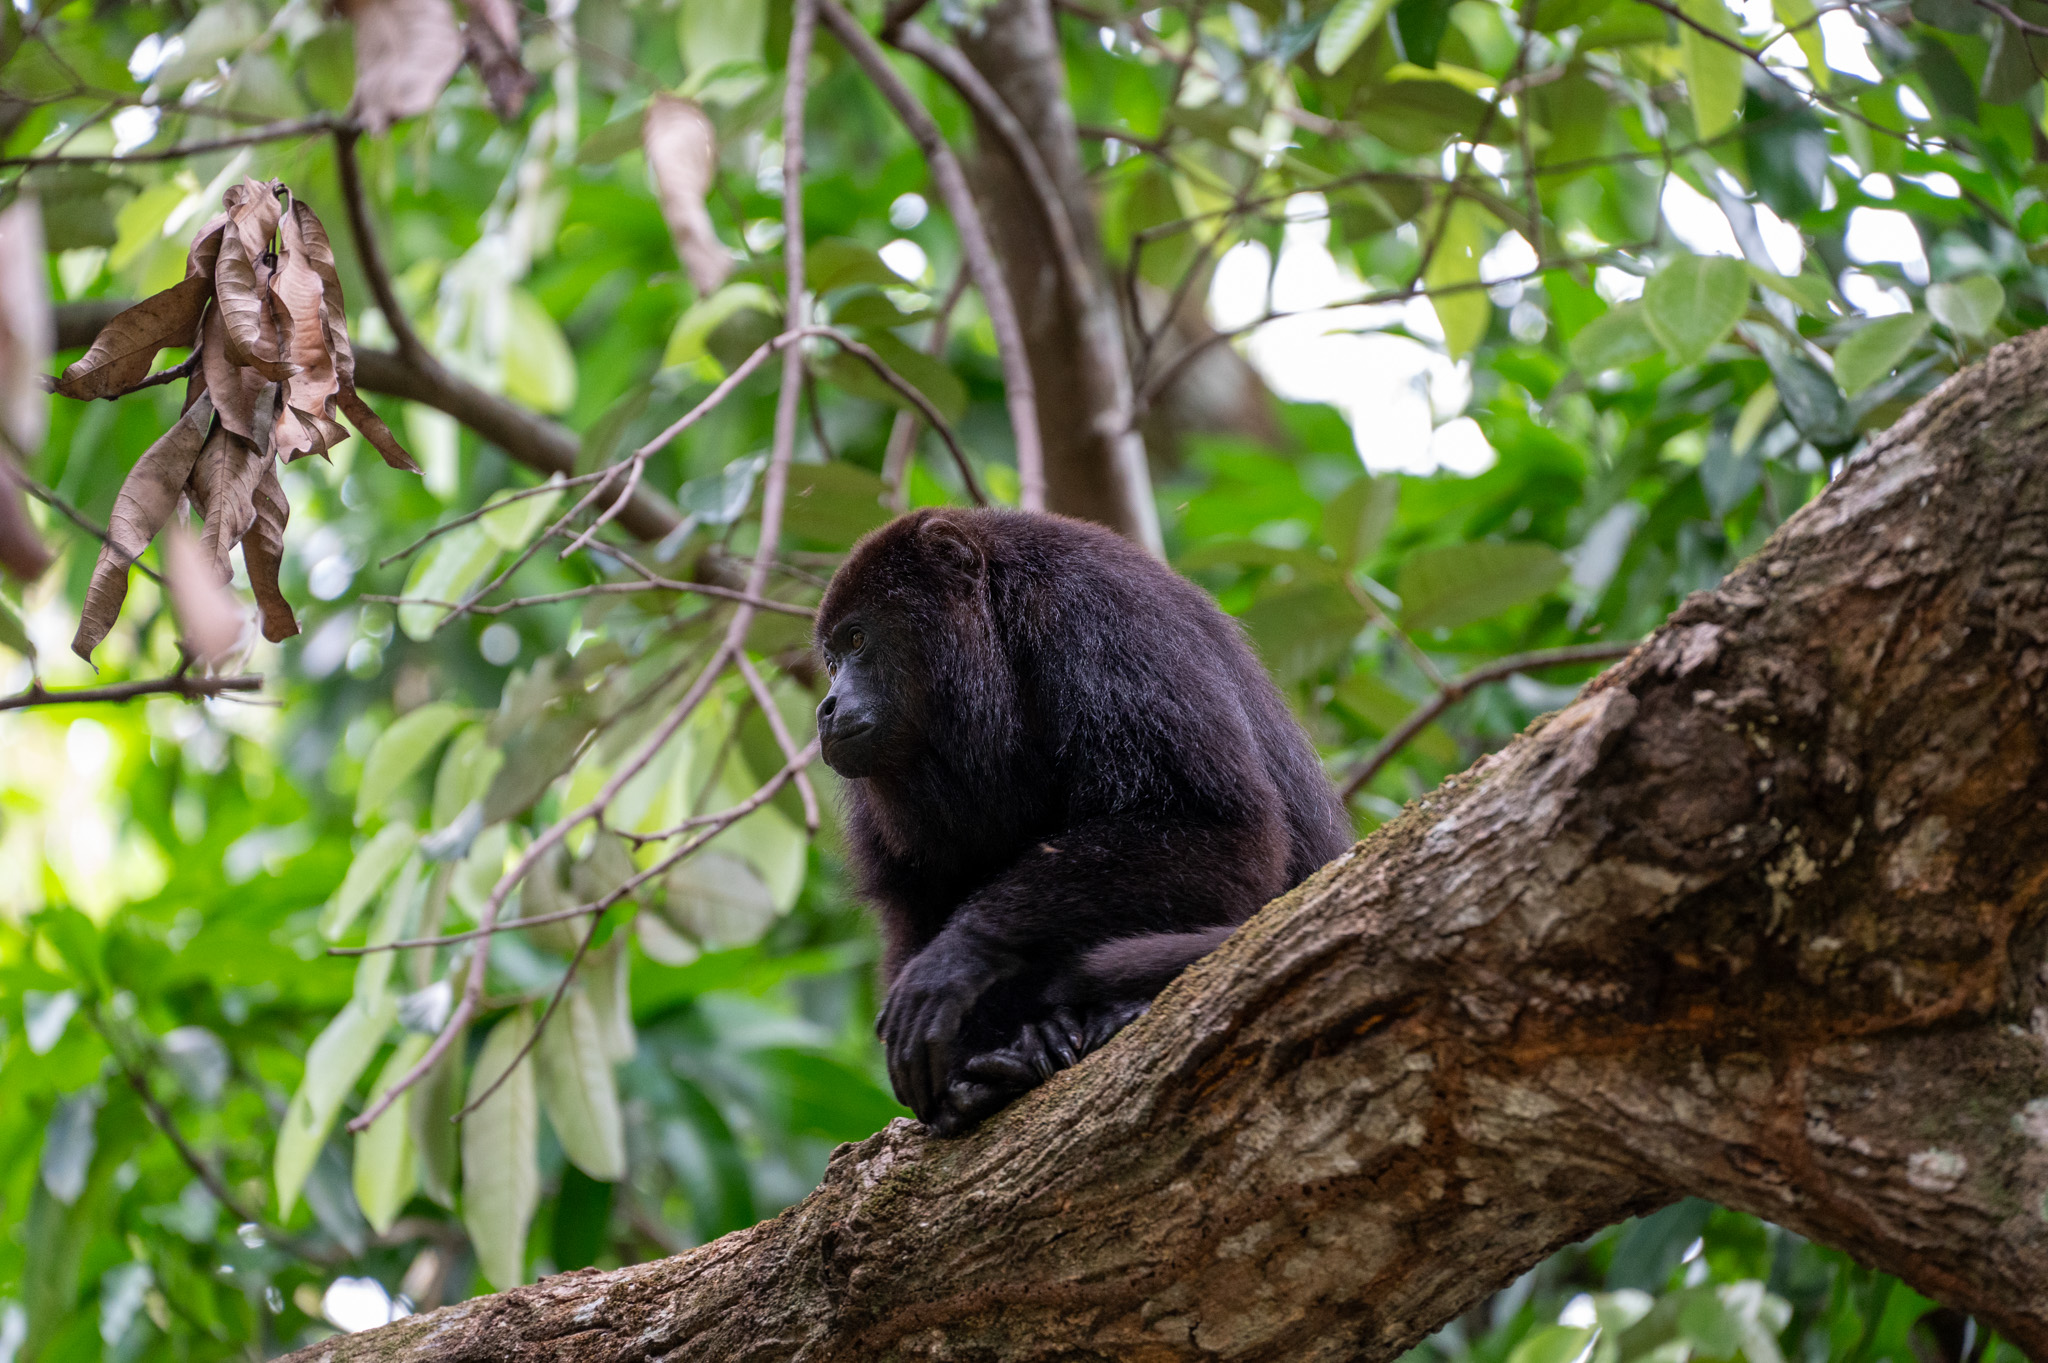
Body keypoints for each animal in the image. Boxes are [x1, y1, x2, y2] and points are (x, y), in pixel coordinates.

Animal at [814, 508, 1352, 1135]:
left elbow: (1220, 827)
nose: (826, 706)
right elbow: (911, 905)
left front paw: (961, 952)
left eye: (857, 639)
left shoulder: (1096, 619)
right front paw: (969, 1075)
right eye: (830, 661)